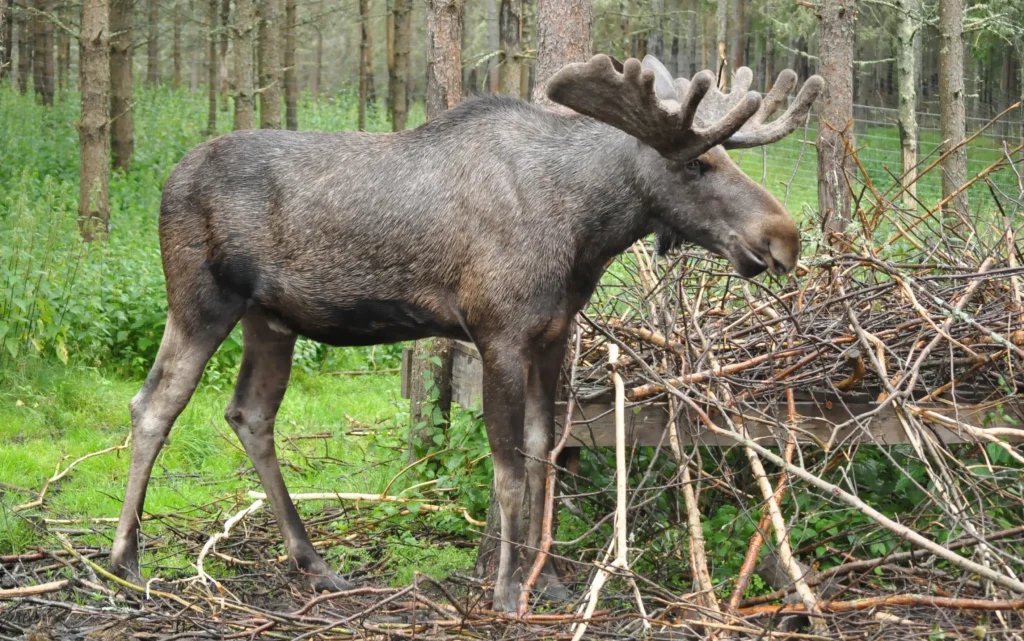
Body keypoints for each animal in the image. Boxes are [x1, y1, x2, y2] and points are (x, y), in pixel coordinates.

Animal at [108, 53, 819, 610]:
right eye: (697, 165)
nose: (783, 237)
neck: (585, 233)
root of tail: (168, 180)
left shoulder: (551, 334)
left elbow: (544, 449)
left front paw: (548, 580)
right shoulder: (498, 331)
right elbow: (506, 467)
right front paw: (505, 590)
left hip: (270, 319)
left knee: (249, 413)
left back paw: (313, 561)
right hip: (201, 299)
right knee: (154, 404)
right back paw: (125, 561)